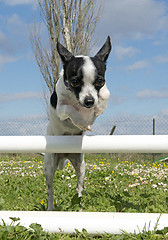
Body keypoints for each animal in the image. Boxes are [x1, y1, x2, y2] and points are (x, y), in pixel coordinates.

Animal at [44, 35, 111, 210]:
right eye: (74, 82)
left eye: (100, 81)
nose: (89, 101)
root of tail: (65, 154)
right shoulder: (61, 109)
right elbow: (70, 109)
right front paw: (81, 122)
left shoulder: (101, 93)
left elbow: (105, 94)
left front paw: (99, 107)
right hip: (50, 166)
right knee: (50, 190)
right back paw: (50, 208)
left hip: (81, 167)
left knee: (78, 189)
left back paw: (79, 208)